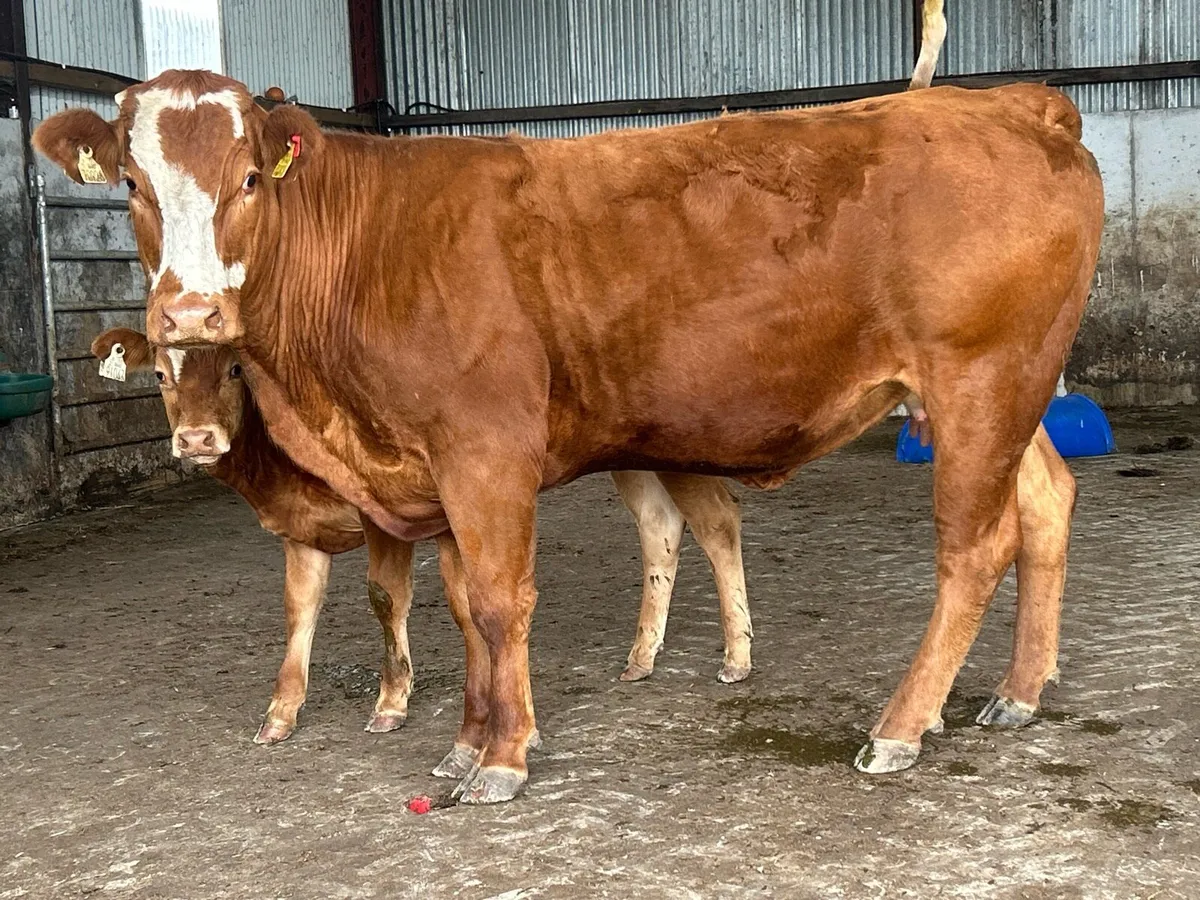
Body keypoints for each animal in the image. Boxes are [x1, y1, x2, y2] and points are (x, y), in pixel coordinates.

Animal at [89, 329, 754, 742]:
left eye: (233, 370)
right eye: (159, 374)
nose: (196, 439)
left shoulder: (383, 517)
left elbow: (388, 596)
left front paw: (391, 702)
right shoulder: (300, 529)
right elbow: (300, 610)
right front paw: (281, 712)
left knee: (717, 523)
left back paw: (737, 657)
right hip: (630, 459)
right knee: (658, 527)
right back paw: (642, 657)